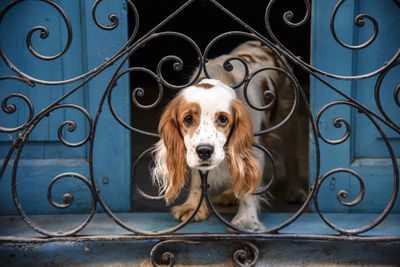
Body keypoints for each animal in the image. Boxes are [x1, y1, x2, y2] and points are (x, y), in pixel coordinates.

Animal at [152, 40, 300, 232]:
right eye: (188, 119)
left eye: (223, 119)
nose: (205, 151)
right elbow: (198, 179)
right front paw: (193, 207)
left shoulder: (252, 149)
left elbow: (248, 188)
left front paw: (246, 220)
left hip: (288, 118)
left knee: (291, 157)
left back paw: (295, 191)